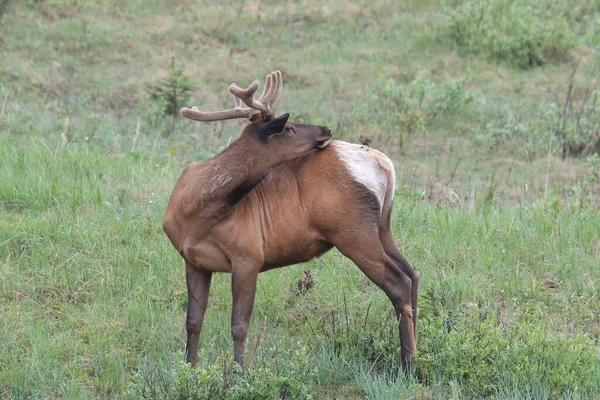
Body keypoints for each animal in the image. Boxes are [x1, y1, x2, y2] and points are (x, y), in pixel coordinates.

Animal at [162, 70, 420, 374]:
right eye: (289, 128)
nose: (326, 129)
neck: (198, 212)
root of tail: (384, 164)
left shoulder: (249, 255)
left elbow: (239, 325)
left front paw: (240, 374)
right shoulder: (194, 260)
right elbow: (193, 320)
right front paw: (189, 368)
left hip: (353, 232)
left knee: (399, 283)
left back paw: (409, 363)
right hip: (381, 227)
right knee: (412, 274)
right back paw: (420, 351)